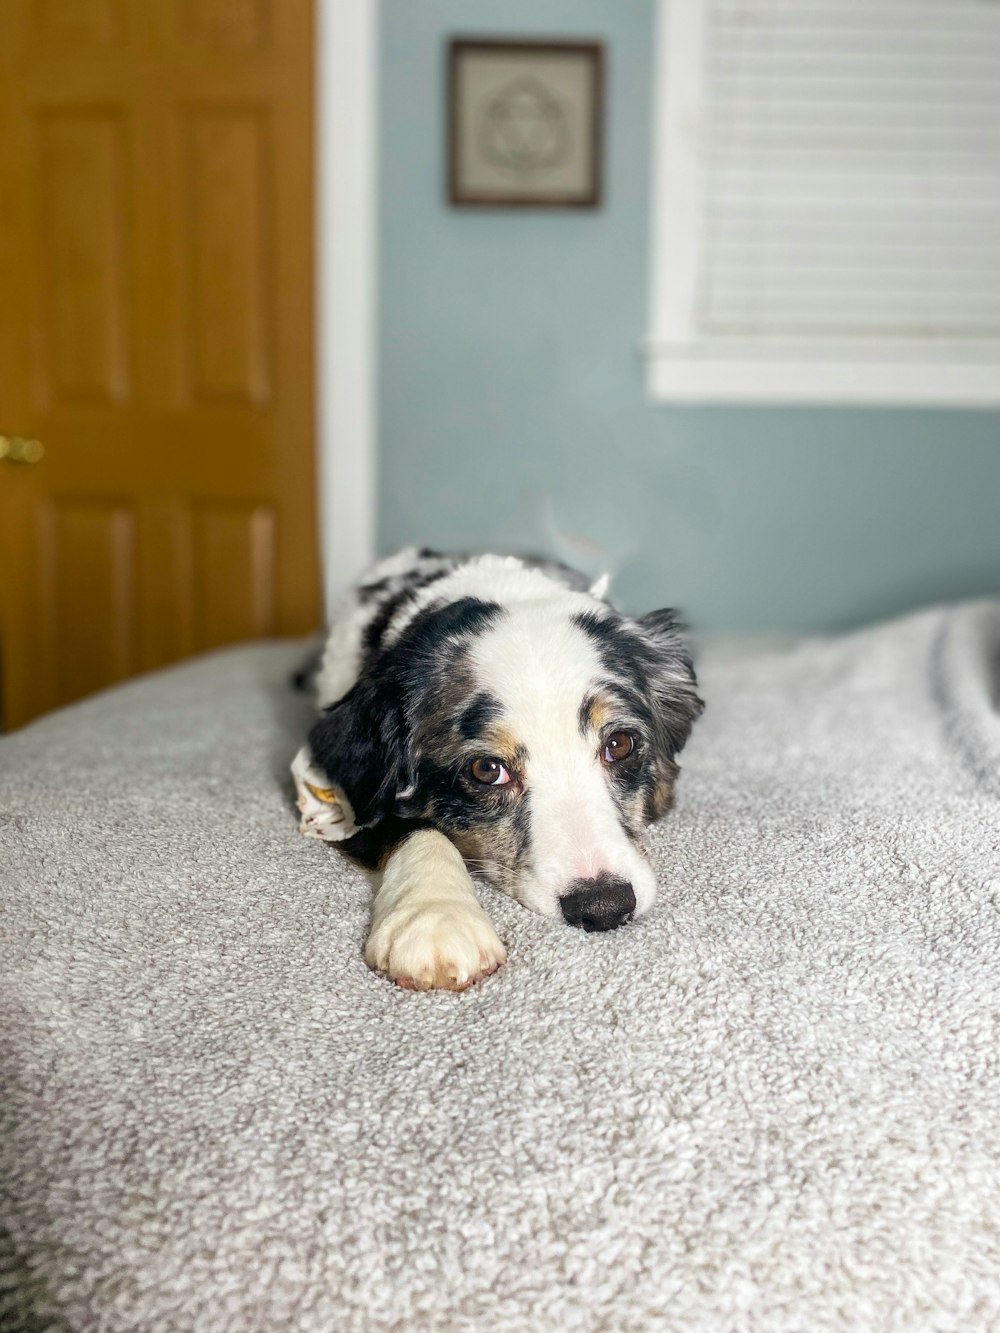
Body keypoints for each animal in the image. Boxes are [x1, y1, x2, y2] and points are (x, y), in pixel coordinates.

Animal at [293, 549, 704, 991]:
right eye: (488, 769)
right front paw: (435, 916)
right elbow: (414, 828)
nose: (604, 906)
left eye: (620, 744)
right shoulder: (333, 798)